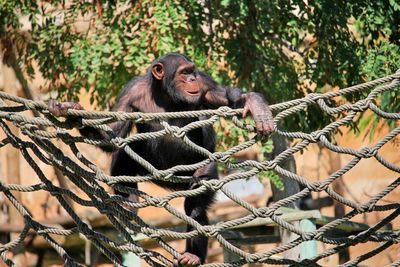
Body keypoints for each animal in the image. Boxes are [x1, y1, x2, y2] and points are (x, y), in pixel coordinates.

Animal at [48, 52, 274, 267]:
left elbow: (224, 97)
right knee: (125, 152)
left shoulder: (205, 84)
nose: (192, 79)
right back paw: (127, 201)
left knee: (196, 205)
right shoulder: (132, 90)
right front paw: (69, 111)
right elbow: (113, 133)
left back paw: (193, 255)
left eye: (192, 71)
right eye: (184, 72)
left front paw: (254, 103)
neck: (165, 94)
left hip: (199, 171)